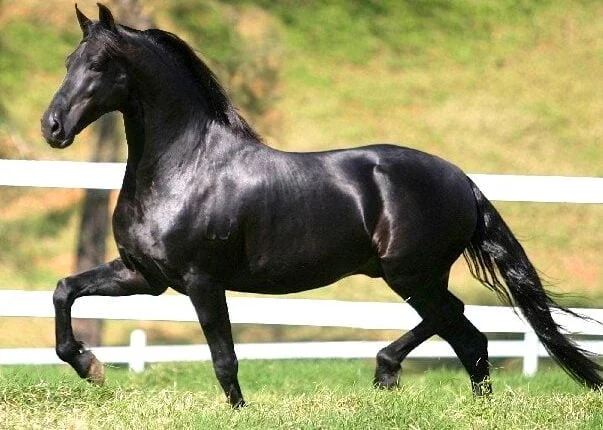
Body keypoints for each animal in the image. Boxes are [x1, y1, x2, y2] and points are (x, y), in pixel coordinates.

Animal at [41, 4, 600, 406]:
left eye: (98, 65)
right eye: (67, 62)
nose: (52, 127)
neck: (184, 167)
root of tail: (463, 180)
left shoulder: (202, 281)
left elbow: (224, 358)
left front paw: (238, 411)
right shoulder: (144, 276)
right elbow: (65, 289)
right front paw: (90, 366)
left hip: (410, 274)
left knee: (463, 329)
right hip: (413, 276)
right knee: (462, 330)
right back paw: (408, 381)